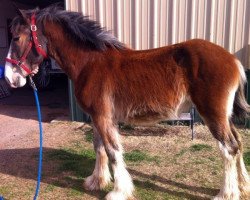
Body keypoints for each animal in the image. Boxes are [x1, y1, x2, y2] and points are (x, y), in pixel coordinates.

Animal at [3, 5, 250, 200]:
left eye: (16, 38)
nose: (9, 78)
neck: (89, 63)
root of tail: (233, 60)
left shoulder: (103, 117)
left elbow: (112, 151)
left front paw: (118, 191)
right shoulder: (98, 117)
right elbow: (99, 147)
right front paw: (96, 181)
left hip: (213, 115)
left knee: (229, 148)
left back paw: (226, 193)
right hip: (224, 116)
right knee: (238, 143)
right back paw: (243, 186)